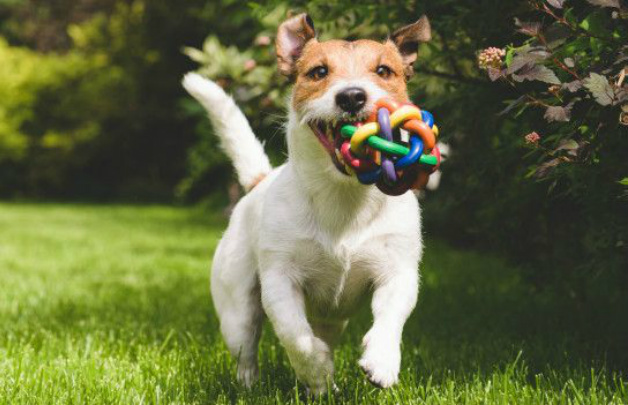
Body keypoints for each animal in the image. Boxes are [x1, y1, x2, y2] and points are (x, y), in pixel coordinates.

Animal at [182, 13, 432, 394]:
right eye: (318, 72)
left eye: (384, 70)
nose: (352, 96)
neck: (343, 196)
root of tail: (260, 181)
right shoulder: (279, 281)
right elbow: (295, 336)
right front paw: (316, 368)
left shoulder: (397, 271)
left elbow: (390, 317)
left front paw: (382, 361)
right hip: (237, 308)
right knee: (246, 348)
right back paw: (257, 384)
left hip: (333, 319)